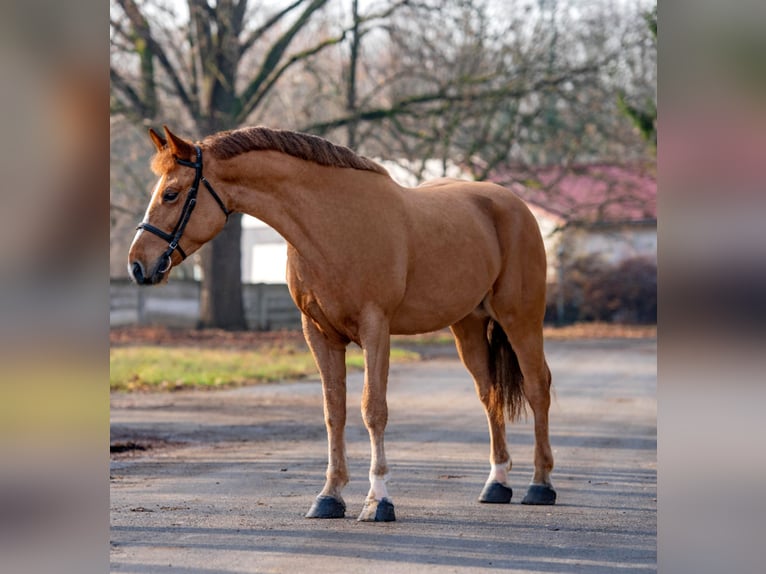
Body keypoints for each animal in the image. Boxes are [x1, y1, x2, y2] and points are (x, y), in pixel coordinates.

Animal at [128, 125, 556, 522]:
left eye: (171, 194)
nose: (137, 264)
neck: (331, 225)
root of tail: (513, 203)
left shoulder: (375, 328)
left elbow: (373, 409)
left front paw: (378, 500)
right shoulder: (319, 334)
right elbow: (334, 412)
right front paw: (329, 497)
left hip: (521, 319)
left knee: (537, 387)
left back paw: (540, 485)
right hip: (468, 325)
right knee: (489, 393)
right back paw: (497, 483)